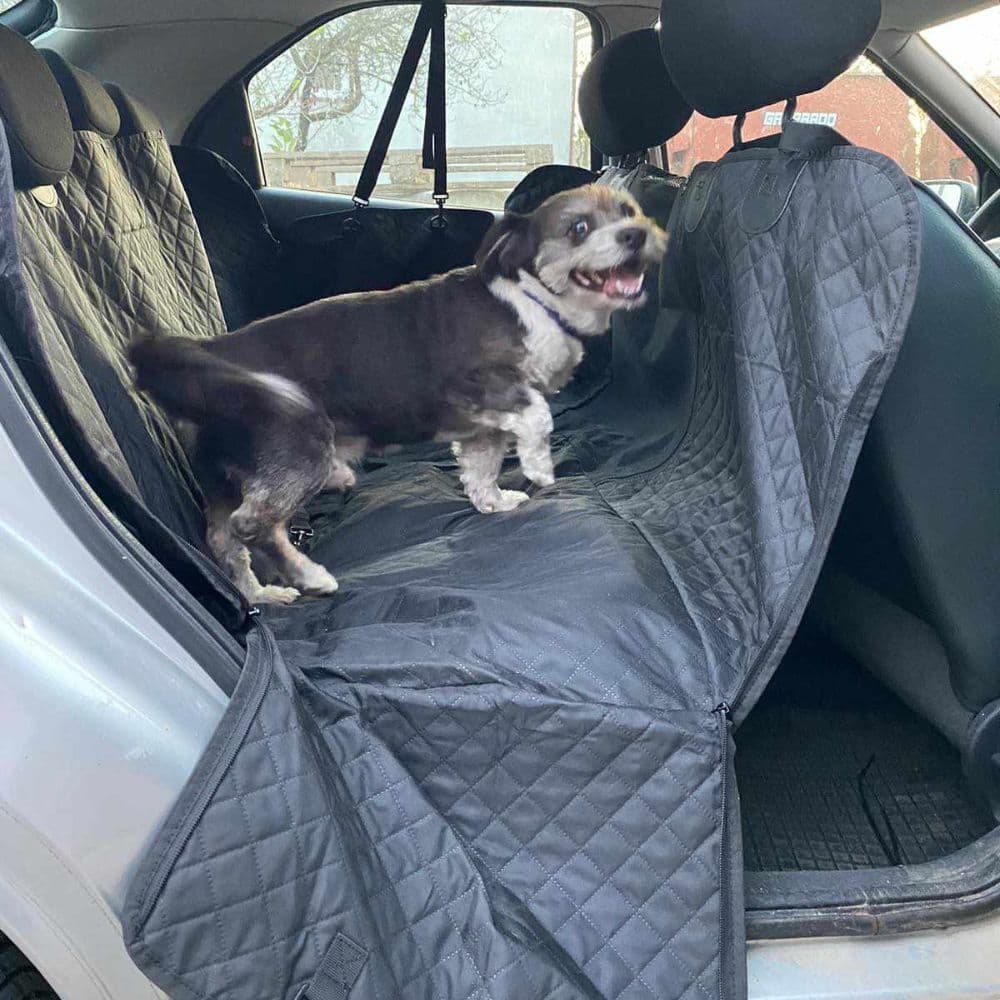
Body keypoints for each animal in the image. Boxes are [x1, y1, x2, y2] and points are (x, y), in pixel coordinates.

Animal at [131, 185, 664, 604]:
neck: (534, 301)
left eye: (629, 212)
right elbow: (538, 416)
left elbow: (481, 470)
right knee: (252, 525)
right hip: (297, 451)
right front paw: (539, 468)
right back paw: (311, 576)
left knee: (223, 540)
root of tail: (212, 352)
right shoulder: (480, 385)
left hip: (225, 477)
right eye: (579, 228)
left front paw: (494, 502)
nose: (635, 234)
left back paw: (262, 594)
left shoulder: (483, 428)